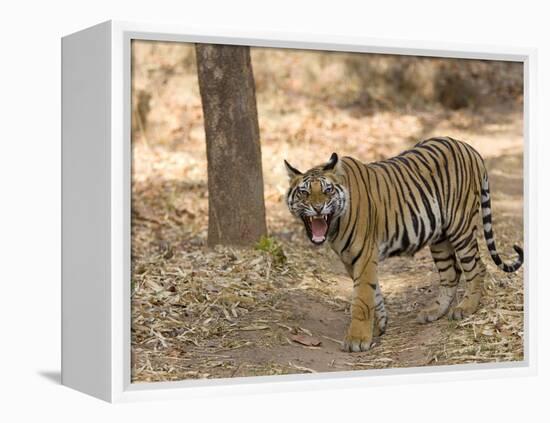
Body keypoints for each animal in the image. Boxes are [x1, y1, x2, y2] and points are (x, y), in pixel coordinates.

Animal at [286, 137, 524, 352]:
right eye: (304, 192)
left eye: (328, 190)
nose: (318, 208)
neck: (335, 224)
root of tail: (468, 147)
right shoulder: (350, 260)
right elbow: (374, 292)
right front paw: (380, 325)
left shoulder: (364, 256)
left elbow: (362, 298)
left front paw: (357, 340)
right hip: (440, 237)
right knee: (451, 273)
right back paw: (434, 312)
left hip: (461, 226)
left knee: (477, 267)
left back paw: (466, 308)